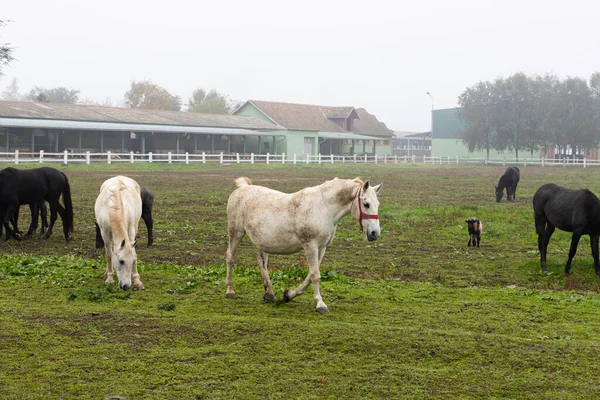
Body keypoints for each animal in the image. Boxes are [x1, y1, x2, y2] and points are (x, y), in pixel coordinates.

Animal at [225, 177, 384, 312]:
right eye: (366, 204)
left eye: (377, 204)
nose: (374, 233)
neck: (323, 208)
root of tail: (243, 188)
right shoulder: (310, 245)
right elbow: (315, 275)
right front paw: (320, 304)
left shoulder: (322, 248)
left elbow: (310, 275)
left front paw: (288, 295)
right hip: (236, 233)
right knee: (230, 257)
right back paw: (230, 291)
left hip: (263, 243)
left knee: (261, 263)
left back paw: (269, 294)